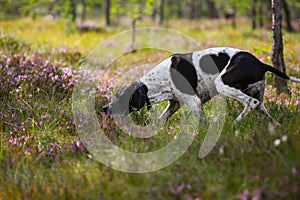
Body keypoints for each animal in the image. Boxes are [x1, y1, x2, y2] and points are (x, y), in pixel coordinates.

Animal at [103, 47, 300, 126]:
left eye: (120, 98)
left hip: (223, 84)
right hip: (259, 99)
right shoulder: (175, 103)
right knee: (262, 109)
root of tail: (260, 63)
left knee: (251, 103)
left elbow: (202, 124)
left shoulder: (195, 102)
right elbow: (160, 120)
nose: (104, 109)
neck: (162, 78)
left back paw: (234, 125)